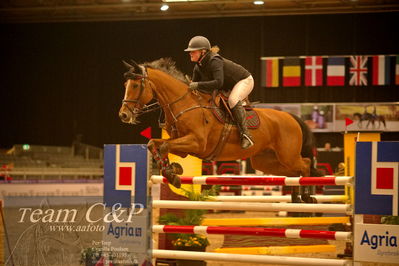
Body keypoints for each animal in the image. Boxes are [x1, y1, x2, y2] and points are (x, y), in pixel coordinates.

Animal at [119, 58, 322, 204]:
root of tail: (292, 117)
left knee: (305, 165)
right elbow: (154, 144)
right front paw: (173, 170)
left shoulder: (197, 143)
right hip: (266, 161)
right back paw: (296, 198)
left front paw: (172, 172)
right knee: (293, 172)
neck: (184, 104)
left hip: (287, 155)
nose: (123, 115)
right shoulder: (183, 146)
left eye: (135, 85)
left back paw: (306, 196)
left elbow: (164, 146)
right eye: (125, 86)